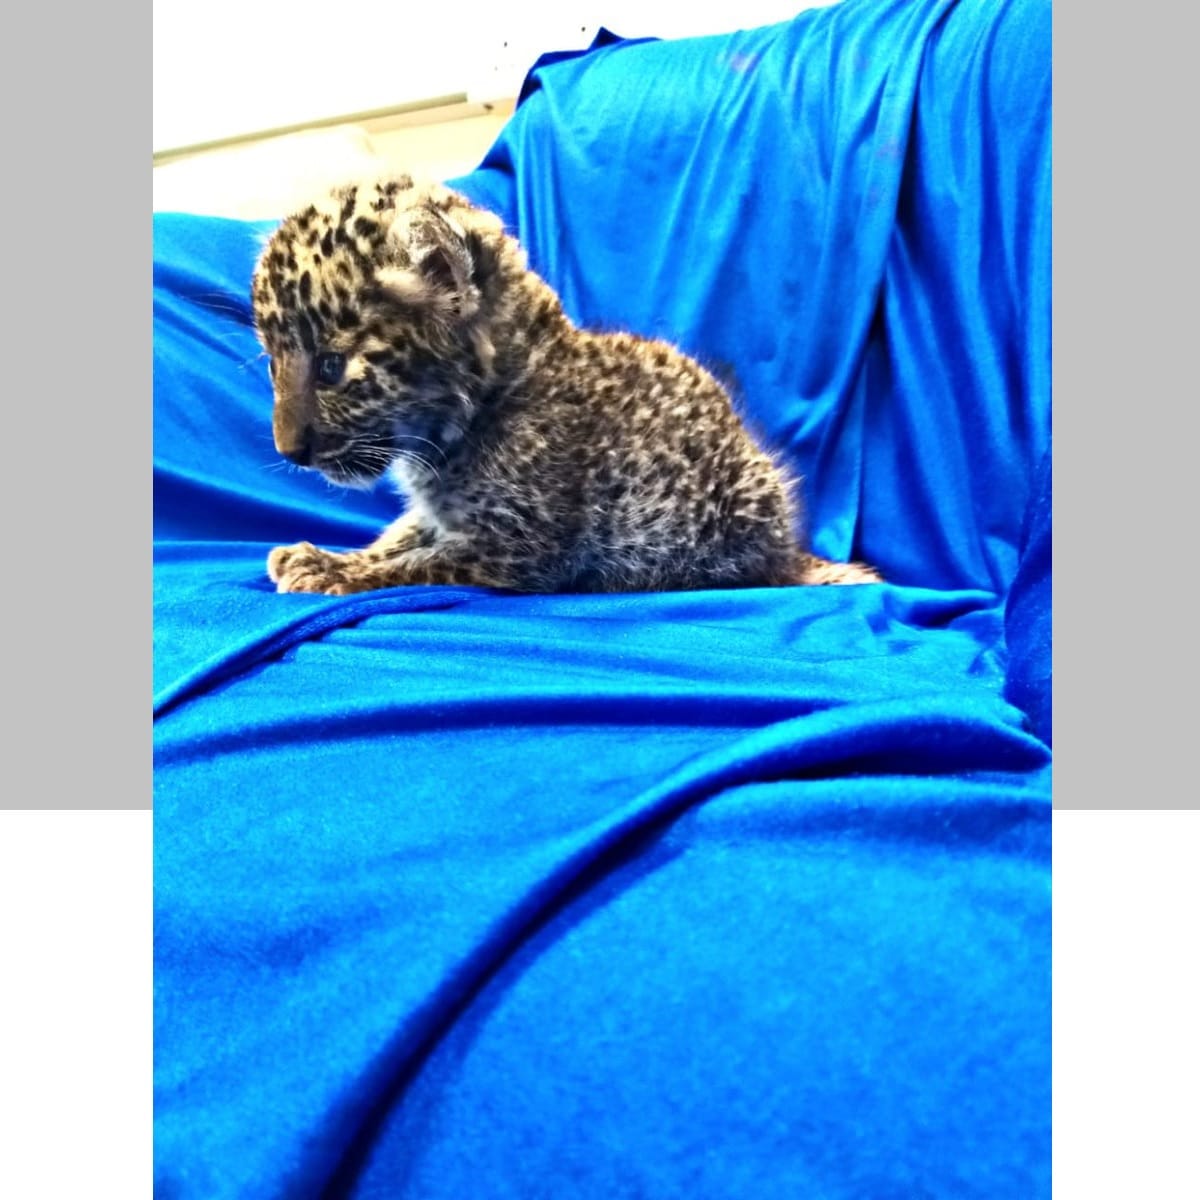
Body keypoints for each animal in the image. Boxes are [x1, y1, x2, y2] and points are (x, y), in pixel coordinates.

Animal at [250, 175, 881, 595]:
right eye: (271, 363)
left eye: (330, 367)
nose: (289, 450)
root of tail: (787, 550)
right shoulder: (442, 516)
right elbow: (402, 534)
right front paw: (327, 553)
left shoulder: (519, 546)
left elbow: (418, 561)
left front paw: (330, 569)